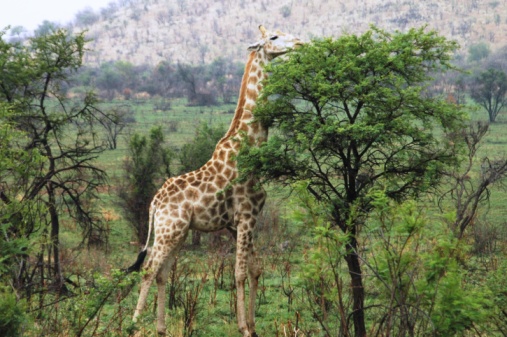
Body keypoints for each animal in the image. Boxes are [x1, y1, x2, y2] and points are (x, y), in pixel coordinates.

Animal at [126, 25, 302, 334]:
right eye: (274, 37)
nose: (301, 42)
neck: (248, 147)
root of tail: (154, 203)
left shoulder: (240, 222)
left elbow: (256, 270)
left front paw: (253, 325)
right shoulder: (246, 217)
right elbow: (240, 273)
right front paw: (244, 328)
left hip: (178, 233)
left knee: (161, 272)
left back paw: (161, 329)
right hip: (169, 231)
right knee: (148, 269)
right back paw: (133, 326)